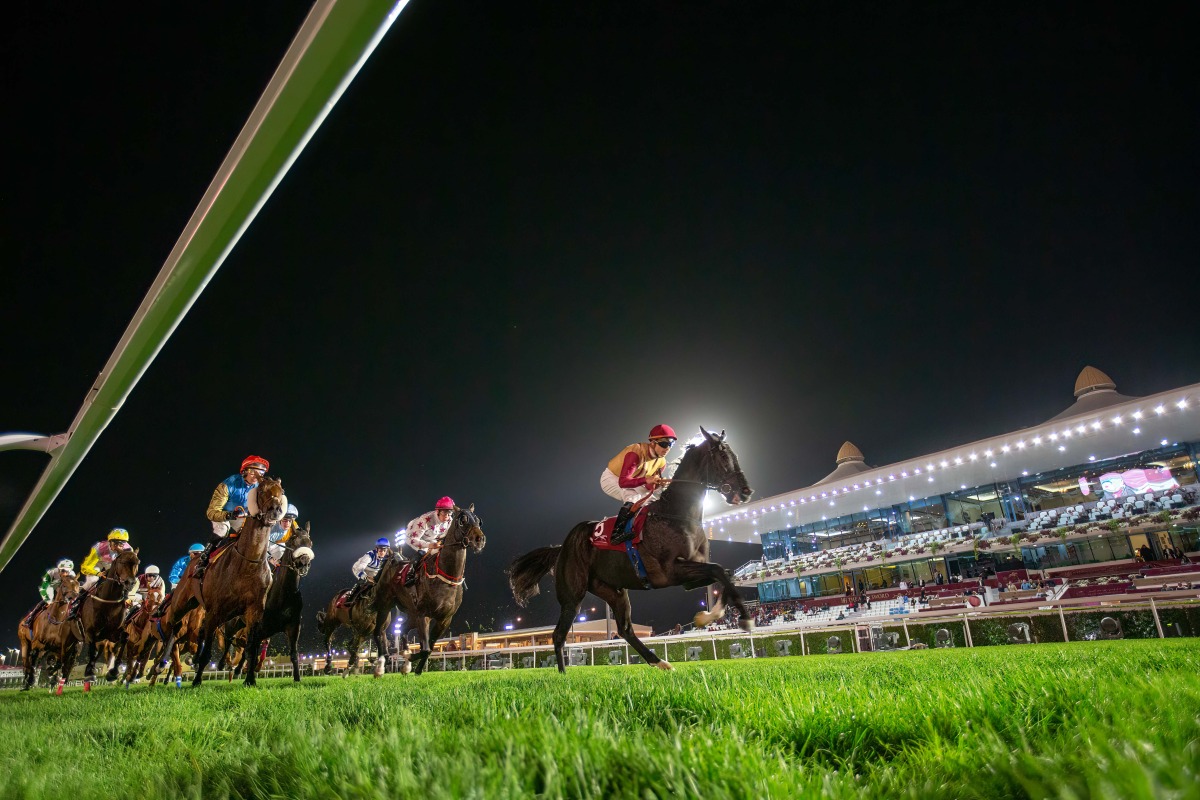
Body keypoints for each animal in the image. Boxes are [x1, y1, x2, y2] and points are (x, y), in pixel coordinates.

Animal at [76, 551, 139, 681]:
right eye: (122, 562)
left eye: (137, 562)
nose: (130, 582)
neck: (108, 600)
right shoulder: (90, 631)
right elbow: (92, 650)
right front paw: (90, 672)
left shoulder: (112, 633)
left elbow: (124, 638)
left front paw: (113, 672)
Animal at [160, 474, 289, 690]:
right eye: (262, 490)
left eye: (281, 491)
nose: (276, 510)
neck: (248, 561)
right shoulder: (215, 611)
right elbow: (206, 652)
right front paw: (196, 680)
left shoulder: (253, 611)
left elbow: (251, 648)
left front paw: (250, 679)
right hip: (182, 603)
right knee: (173, 626)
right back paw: (162, 660)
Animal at [374, 506, 487, 676]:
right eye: (462, 520)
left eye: (479, 520)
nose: (479, 539)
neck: (447, 578)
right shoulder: (424, 614)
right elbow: (425, 648)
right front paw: (410, 659)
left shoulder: (444, 619)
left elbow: (430, 648)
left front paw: (414, 667)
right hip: (385, 604)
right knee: (379, 631)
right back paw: (381, 663)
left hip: (411, 613)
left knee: (403, 629)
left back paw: (404, 654)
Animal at [511, 429, 753, 671]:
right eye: (723, 458)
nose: (746, 491)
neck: (676, 515)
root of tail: (562, 548)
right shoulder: (672, 572)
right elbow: (718, 570)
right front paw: (743, 618)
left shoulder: (689, 578)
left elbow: (724, 574)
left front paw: (711, 615)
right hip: (572, 596)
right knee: (559, 634)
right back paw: (562, 675)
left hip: (614, 591)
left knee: (625, 629)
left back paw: (660, 662)